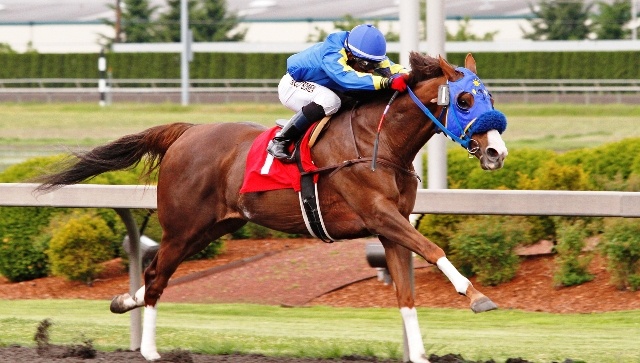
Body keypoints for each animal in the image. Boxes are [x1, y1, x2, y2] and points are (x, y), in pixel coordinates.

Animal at [37, 52, 510, 363]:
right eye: (464, 101)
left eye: (489, 96)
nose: (496, 153)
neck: (379, 142)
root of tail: (186, 132)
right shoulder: (380, 215)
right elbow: (433, 249)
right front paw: (478, 297)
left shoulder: (390, 227)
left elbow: (406, 296)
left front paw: (419, 355)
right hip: (183, 226)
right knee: (158, 277)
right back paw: (151, 350)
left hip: (212, 228)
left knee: (154, 273)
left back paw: (123, 301)